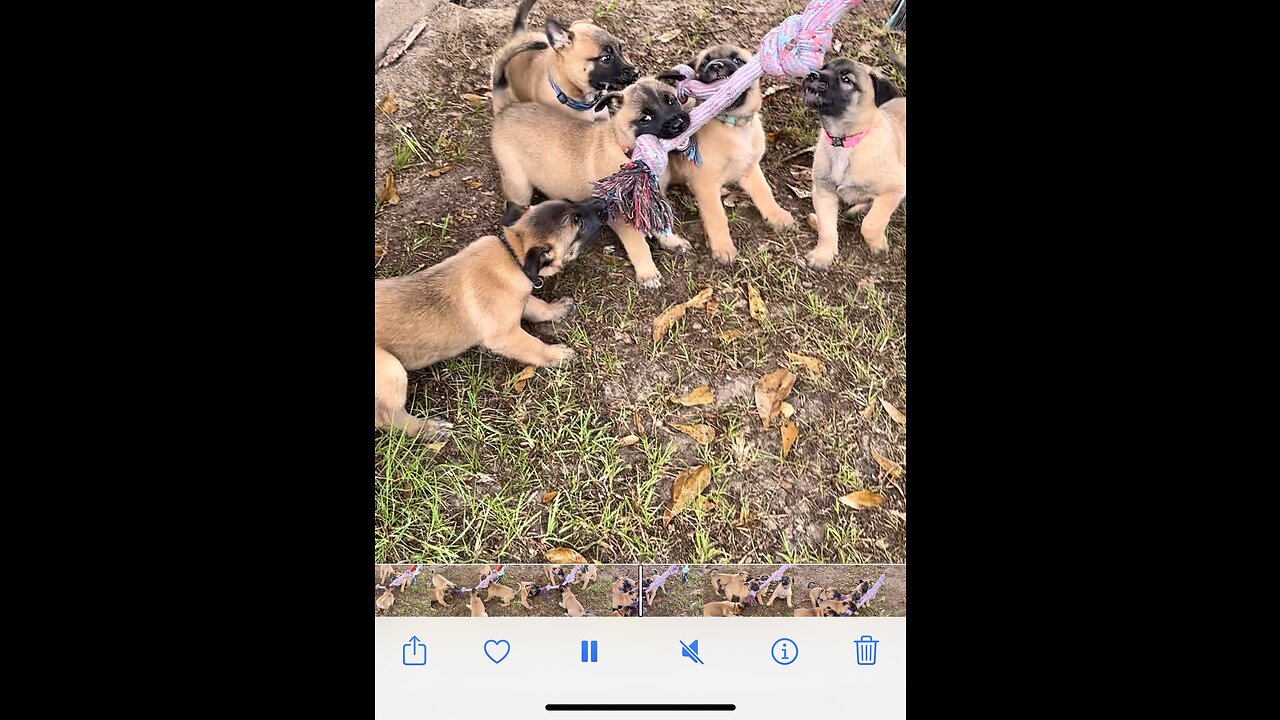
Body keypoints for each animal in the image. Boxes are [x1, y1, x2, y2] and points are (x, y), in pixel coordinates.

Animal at [373, 198, 606, 440]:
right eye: (578, 223)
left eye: (572, 203)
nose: (603, 204)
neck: (513, 253)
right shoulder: (506, 336)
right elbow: (536, 346)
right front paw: (557, 354)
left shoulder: (520, 300)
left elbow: (537, 306)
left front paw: (557, 309)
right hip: (392, 369)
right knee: (389, 419)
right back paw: (429, 429)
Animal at [491, 79, 696, 288]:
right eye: (645, 118)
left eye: (671, 100)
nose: (679, 123)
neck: (627, 152)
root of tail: (505, 111)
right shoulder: (621, 218)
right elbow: (638, 244)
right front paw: (647, 273)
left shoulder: (652, 200)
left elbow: (661, 224)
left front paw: (671, 242)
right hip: (518, 185)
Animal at [665, 42, 793, 260]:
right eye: (704, 63)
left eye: (737, 60)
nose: (716, 66)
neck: (734, 126)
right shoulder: (706, 184)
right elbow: (717, 216)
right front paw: (723, 247)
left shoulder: (749, 169)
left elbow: (764, 192)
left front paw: (776, 215)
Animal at [803, 58, 906, 269]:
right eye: (824, 67)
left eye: (846, 79)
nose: (811, 75)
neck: (844, 141)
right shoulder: (824, 192)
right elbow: (827, 228)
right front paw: (823, 255)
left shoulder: (894, 190)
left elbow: (871, 223)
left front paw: (878, 245)